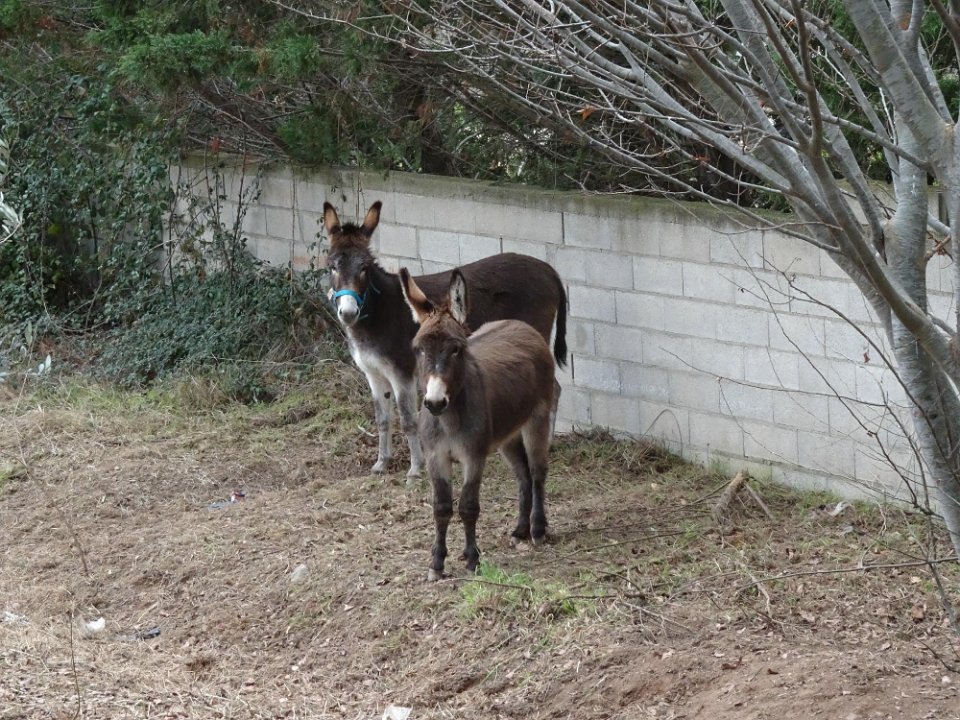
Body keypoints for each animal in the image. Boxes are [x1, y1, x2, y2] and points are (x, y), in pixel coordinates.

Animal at [323, 201, 566, 478]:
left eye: (364, 268)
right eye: (332, 267)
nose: (348, 312)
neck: (376, 315)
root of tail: (550, 270)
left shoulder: (402, 372)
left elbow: (408, 420)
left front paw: (415, 469)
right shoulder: (373, 373)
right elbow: (382, 419)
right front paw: (382, 463)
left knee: (552, 388)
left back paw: (545, 443)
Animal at [399, 267, 555, 580]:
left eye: (456, 349)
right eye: (418, 349)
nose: (434, 403)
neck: (448, 420)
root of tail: (521, 325)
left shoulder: (473, 456)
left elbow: (468, 507)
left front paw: (472, 559)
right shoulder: (436, 456)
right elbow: (441, 508)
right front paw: (437, 563)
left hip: (537, 419)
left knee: (537, 471)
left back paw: (537, 529)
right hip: (506, 435)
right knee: (522, 474)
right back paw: (520, 530)